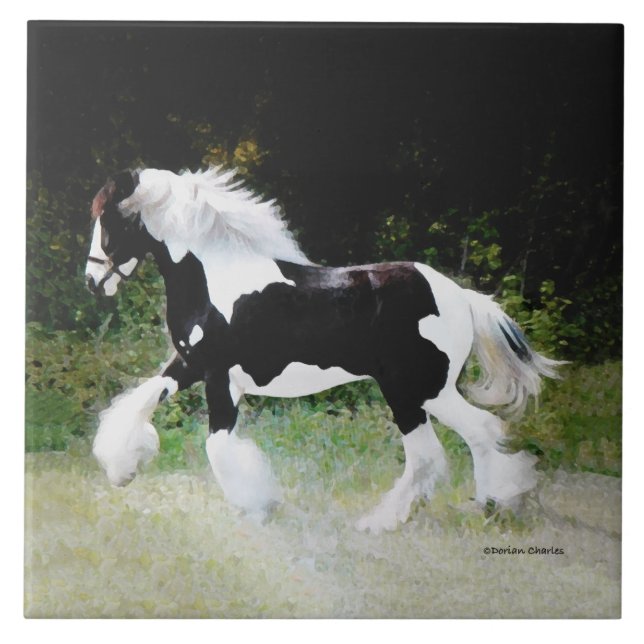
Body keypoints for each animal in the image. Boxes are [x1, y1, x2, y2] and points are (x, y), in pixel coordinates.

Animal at [84, 166, 562, 533]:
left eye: (109, 220)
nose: (93, 282)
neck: (214, 280)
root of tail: (461, 296)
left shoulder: (218, 377)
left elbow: (218, 446)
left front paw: (258, 506)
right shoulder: (188, 364)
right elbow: (140, 401)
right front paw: (122, 469)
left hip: (418, 390)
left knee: (461, 439)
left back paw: (465, 511)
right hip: (420, 393)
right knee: (447, 447)